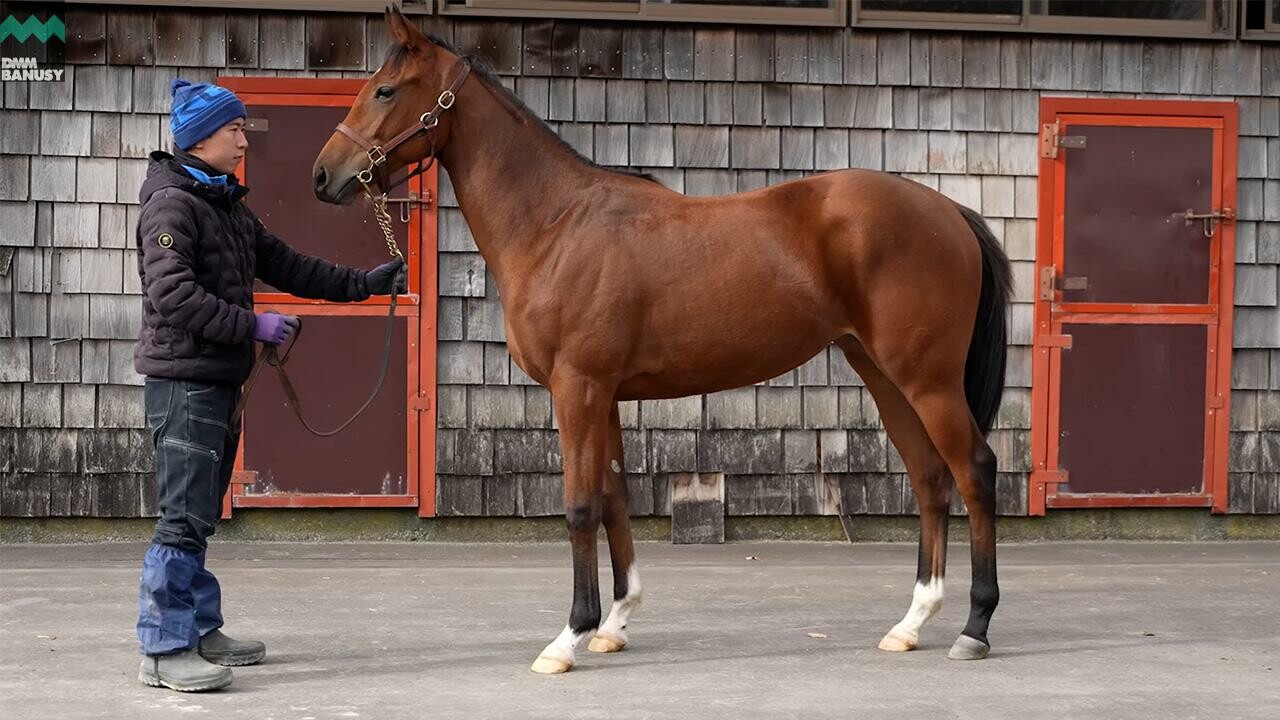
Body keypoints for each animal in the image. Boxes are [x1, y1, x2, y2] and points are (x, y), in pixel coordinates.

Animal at [317, 5, 1008, 671]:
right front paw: (614, 624)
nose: (325, 176)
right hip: (884, 375)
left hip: (928, 380)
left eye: (384, 91)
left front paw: (568, 637)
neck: (556, 223)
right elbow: (614, 497)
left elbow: (580, 506)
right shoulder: (605, 394)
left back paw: (974, 628)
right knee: (929, 478)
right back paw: (910, 624)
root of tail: (948, 211)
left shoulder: (577, 389)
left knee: (973, 471)